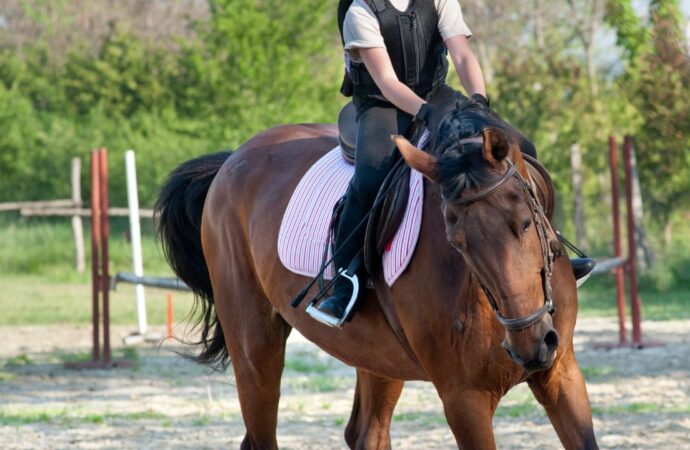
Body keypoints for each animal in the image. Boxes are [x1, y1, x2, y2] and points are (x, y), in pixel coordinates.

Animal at [156, 98, 596, 450]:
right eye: (456, 243)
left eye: (525, 223)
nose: (530, 348)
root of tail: (232, 161)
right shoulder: (463, 399)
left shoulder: (562, 375)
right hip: (254, 347)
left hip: (378, 356)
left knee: (366, 433)